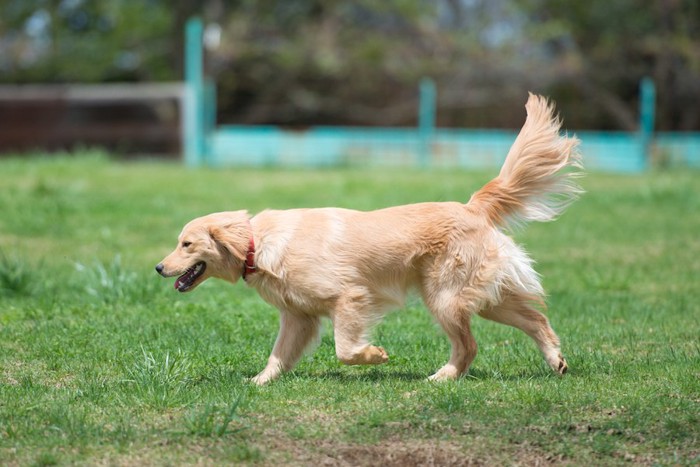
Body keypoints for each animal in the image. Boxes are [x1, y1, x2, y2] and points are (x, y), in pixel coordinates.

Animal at [156, 94, 584, 384]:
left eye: (186, 244)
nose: (159, 267)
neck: (257, 244)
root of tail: (471, 206)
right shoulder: (298, 318)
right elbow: (278, 356)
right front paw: (259, 383)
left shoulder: (349, 297)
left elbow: (344, 350)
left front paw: (373, 356)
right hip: (480, 297)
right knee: (536, 318)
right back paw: (556, 361)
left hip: (446, 298)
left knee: (470, 345)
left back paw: (441, 377)